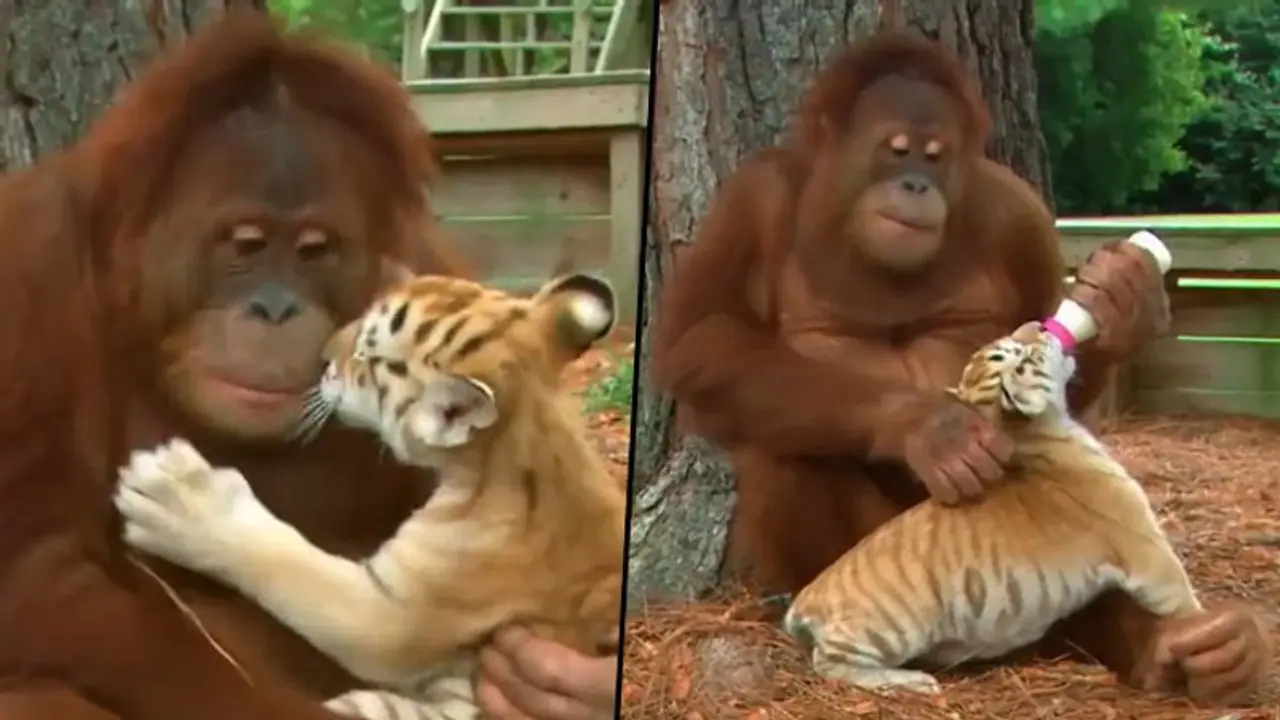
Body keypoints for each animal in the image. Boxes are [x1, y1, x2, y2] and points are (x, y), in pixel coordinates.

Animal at [782, 320, 1201, 695]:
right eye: (1019, 355)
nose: (1040, 326)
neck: (1034, 434)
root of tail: (807, 598)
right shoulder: (1147, 552)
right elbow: (1184, 600)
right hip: (885, 629)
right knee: (831, 663)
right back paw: (910, 682)